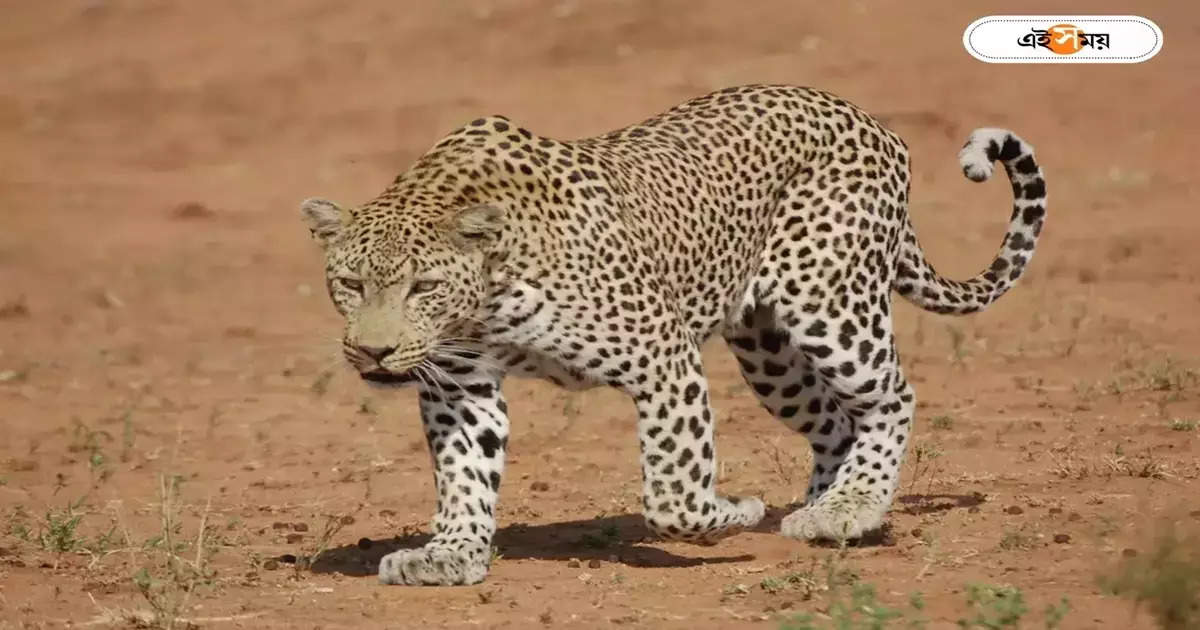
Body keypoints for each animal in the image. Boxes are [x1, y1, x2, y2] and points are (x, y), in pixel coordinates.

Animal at [302, 83, 1051, 585]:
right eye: (349, 283)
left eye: (423, 287)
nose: (372, 351)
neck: (486, 292)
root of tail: (868, 120)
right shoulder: (459, 387)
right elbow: (464, 476)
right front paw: (450, 555)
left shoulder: (662, 357)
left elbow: (672, 487)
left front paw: (731, 512)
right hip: (769, 352)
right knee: (836, 423)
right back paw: (824, 508)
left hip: (830, 305)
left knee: (892, 397)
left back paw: (852, 507)